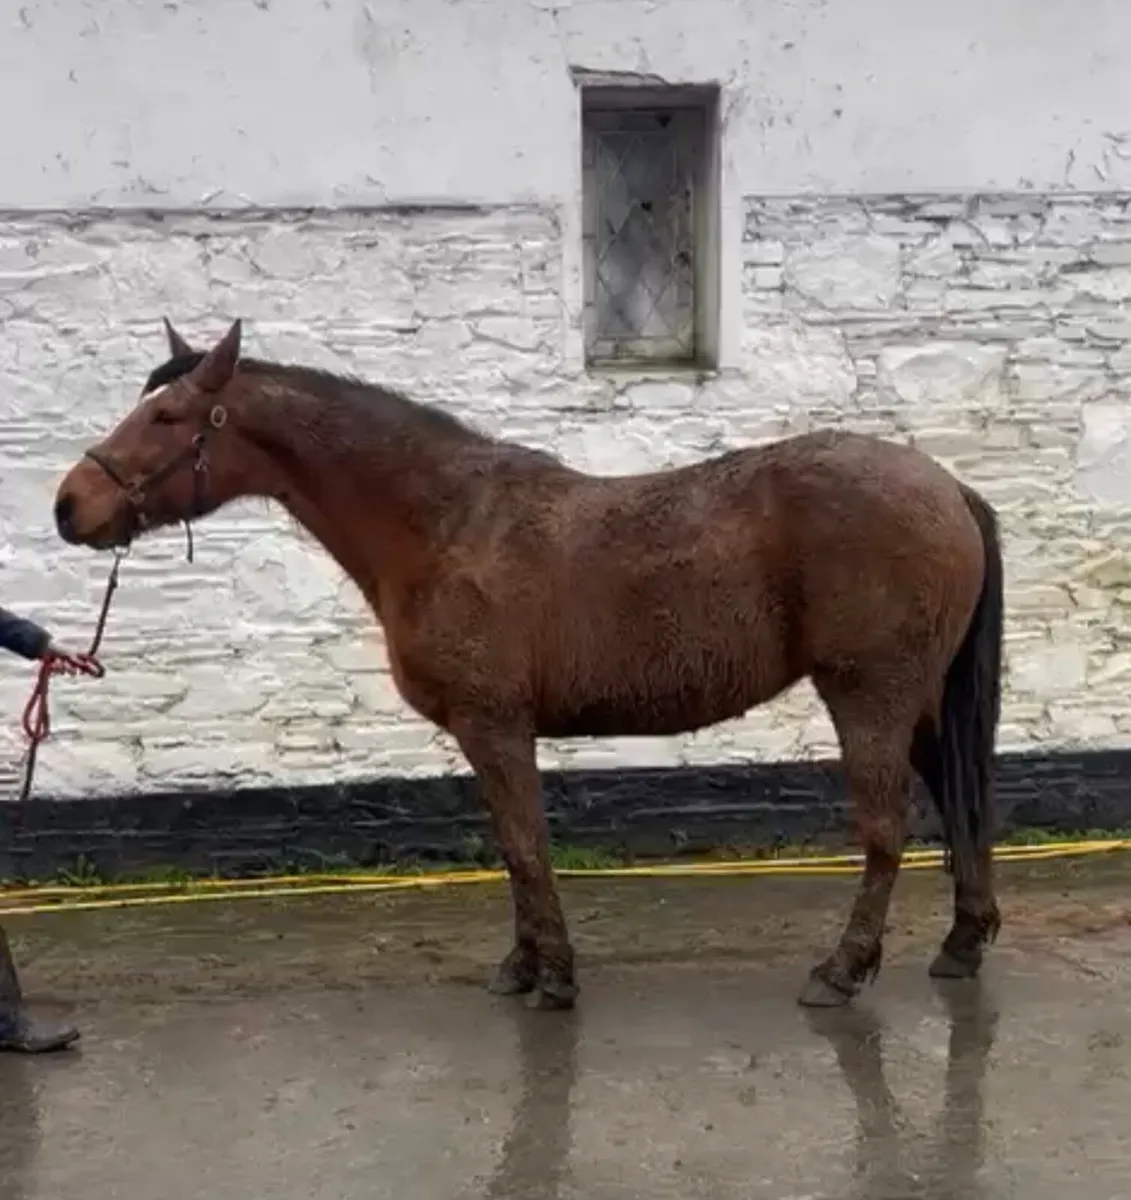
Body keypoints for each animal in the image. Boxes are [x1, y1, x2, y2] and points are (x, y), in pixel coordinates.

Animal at [54, 318, 1004, 1011]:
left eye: (167, 418)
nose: (70, 505)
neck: (444, 524)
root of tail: (946, 487)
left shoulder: (495, 725)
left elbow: (523, 845)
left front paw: (553, 977)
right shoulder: (489, 736)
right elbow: (513, 850)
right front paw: (522, 966)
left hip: (868, 696)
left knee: (884, 831)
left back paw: (841, 971)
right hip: (919, 701)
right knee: (957, 801)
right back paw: (961, 944)